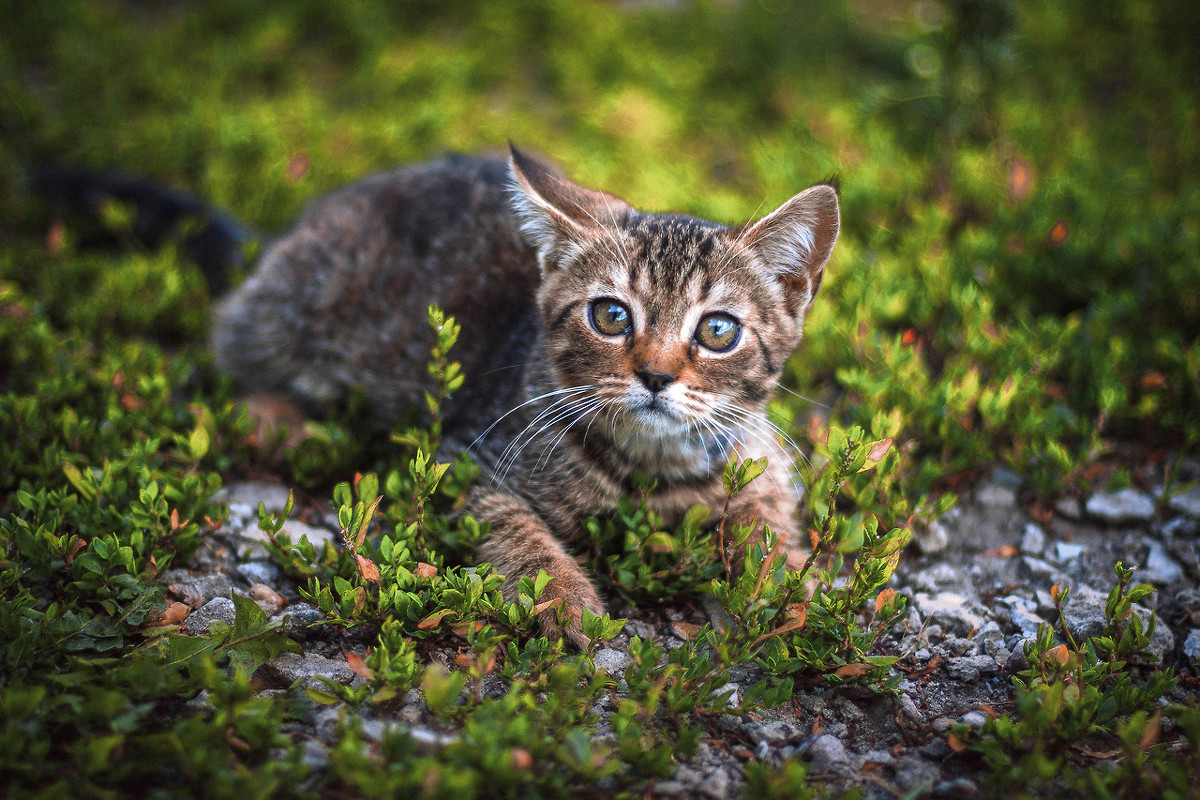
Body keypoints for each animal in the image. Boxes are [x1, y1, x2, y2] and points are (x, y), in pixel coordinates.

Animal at [211, 146, 840, 647]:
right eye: (611, 316)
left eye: (717, 330)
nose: (656, 376)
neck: (653, 470)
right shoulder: (465, 459)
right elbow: (516, 528)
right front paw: (561, 596)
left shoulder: (758, 457)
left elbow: (765, 522)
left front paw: (792, 589)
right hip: (297, 301)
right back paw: (279, 422)